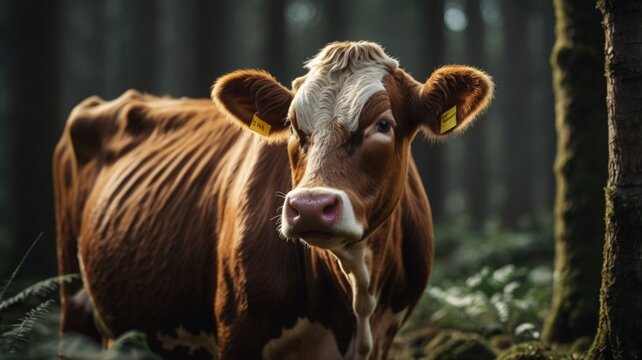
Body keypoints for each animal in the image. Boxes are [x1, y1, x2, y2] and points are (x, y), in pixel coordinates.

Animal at [53, 40, 490, 358]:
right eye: (294, 127)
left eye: (383, 124)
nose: (311, 207)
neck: (357, 291)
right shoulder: (238, 331)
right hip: (74, 303)